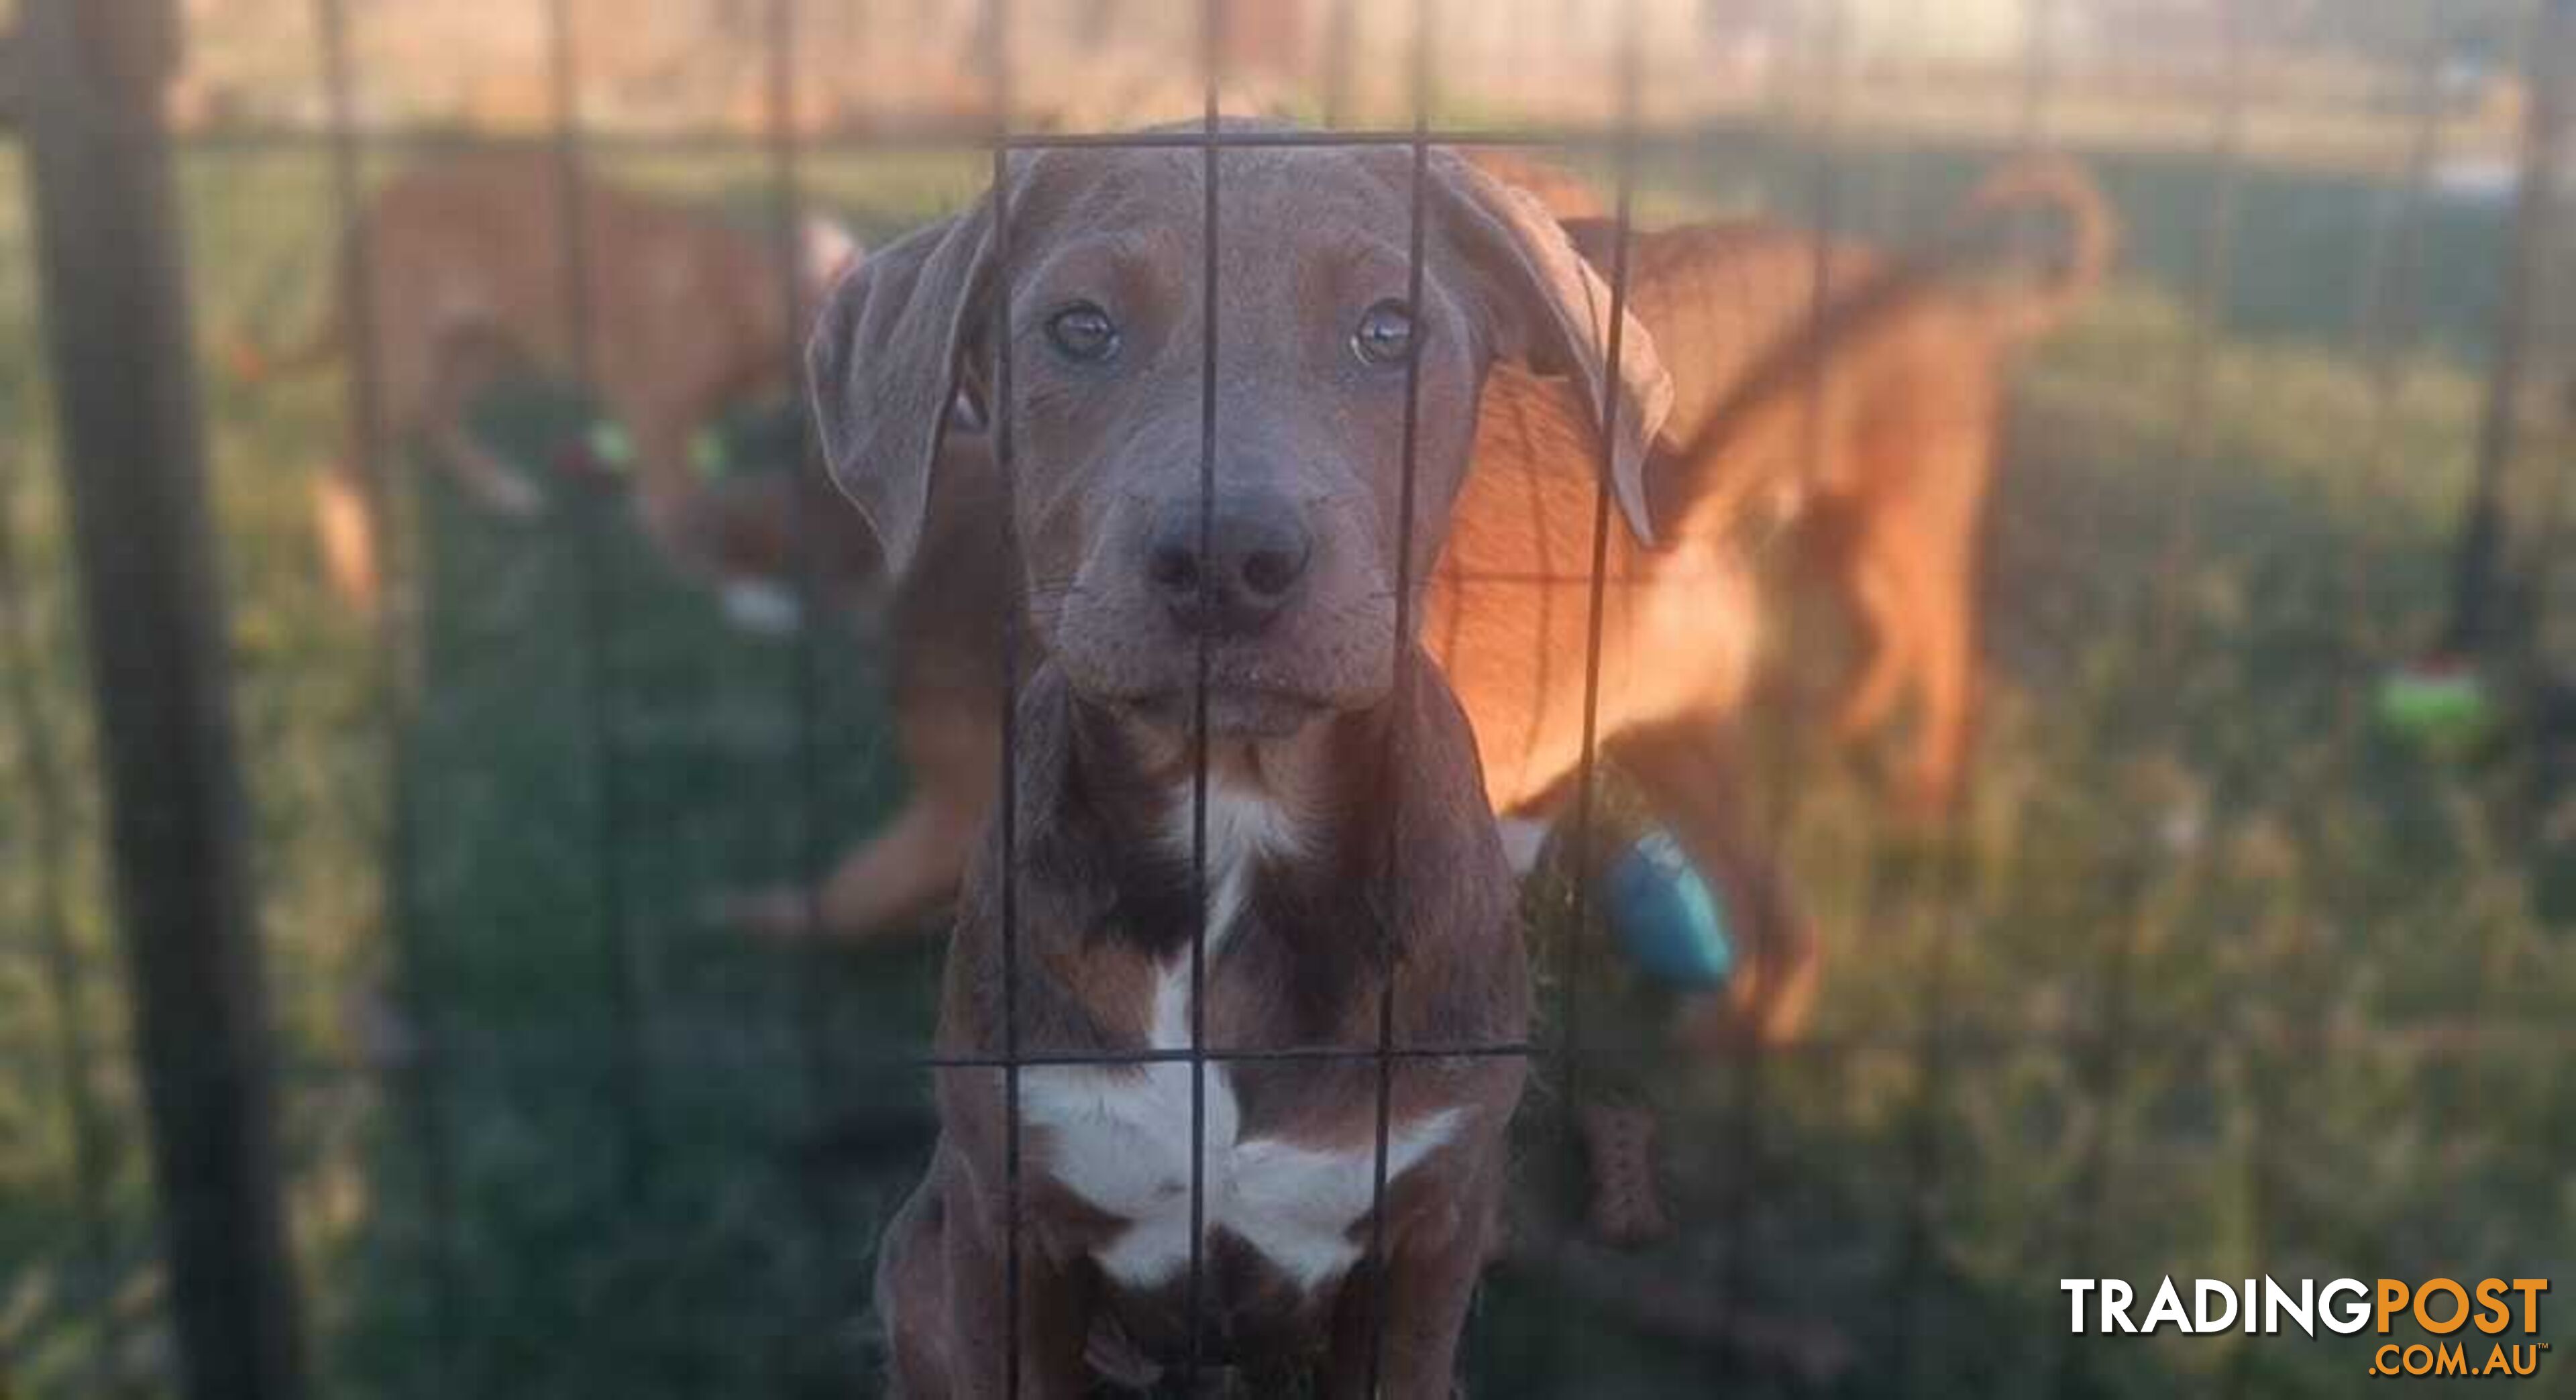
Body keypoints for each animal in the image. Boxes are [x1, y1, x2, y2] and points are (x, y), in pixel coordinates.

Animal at [234, 154, 855, 613]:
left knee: (441, 421)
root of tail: (363, 216)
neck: (749, 300)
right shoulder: (655, 419)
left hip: (485, 348)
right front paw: (742, 592)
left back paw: (502, 491)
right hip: (404, 371)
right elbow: (680, 514)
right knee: (341, 468)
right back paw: (361, 587)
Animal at [819, 126, 1669, 1392]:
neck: (1234, 815)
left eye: (1387, 329)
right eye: (1081, 327)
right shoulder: (1002, 1220)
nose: (1228, 556)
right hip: (919, 1262)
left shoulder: (1432, 1228)